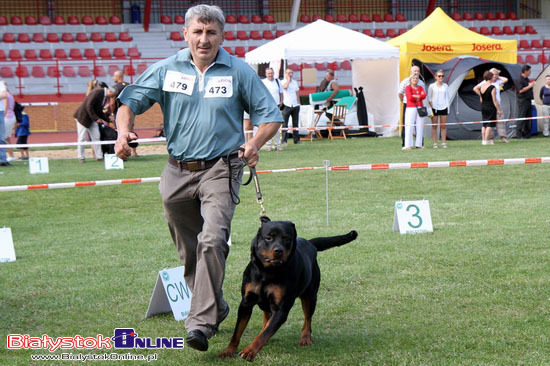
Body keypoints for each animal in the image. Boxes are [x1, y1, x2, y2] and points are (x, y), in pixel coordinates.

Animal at [218, 216, 360, 362]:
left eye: (286, 238)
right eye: (268, 237)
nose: (278, 250)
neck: (267, 272)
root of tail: (310, 243)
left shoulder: (281, 309)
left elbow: (264, 334)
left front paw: (250, 351)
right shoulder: (246, 303)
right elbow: (237, 332)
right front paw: (228, 351)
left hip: (310, 296)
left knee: (307, 320)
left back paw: (305, 338)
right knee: (267, 317)